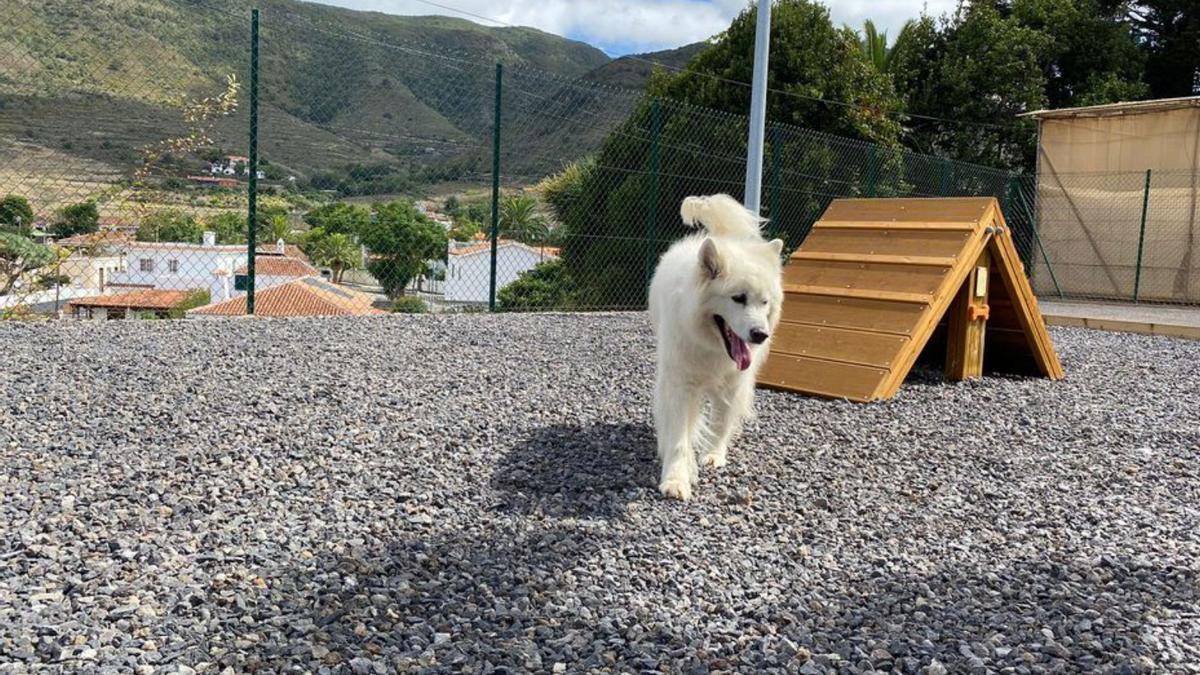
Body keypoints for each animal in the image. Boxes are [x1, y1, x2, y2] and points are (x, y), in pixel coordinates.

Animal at [652, 192, 782, 497]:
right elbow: (679, 436)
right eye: (738, 298)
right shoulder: (681, 384)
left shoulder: (732, 382)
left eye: (764, 302)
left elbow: (721, 422)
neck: (712, 347)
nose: (760, 334)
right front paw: (676, 479)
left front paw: (713, 455)